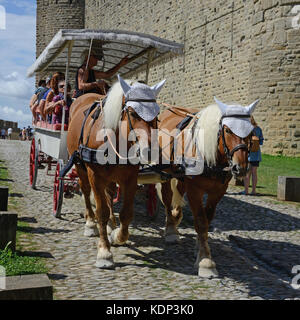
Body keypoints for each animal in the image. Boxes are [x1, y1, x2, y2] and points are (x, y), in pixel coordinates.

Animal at [67, 75, 165, 268]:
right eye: (133, 113)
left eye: (157, 114)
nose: (150, 151)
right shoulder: (95, 176)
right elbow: (101, 212)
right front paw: (104, 251)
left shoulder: (130, 178)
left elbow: (126, 214)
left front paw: (117, 235)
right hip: (80, 167)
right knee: (86, 191)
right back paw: (90, 223)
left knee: (110, 194)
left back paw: (111, 225)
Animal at [157, 98, 260, 278]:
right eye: (227, 130)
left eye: (251, 130)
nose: (240, 168)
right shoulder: (195, 190)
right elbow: (201, 221)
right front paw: (205, 261)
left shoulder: (218, 191)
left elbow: (207, 218)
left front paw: (199, 247)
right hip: (165, 172)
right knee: (167, 198)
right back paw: (170, 229)